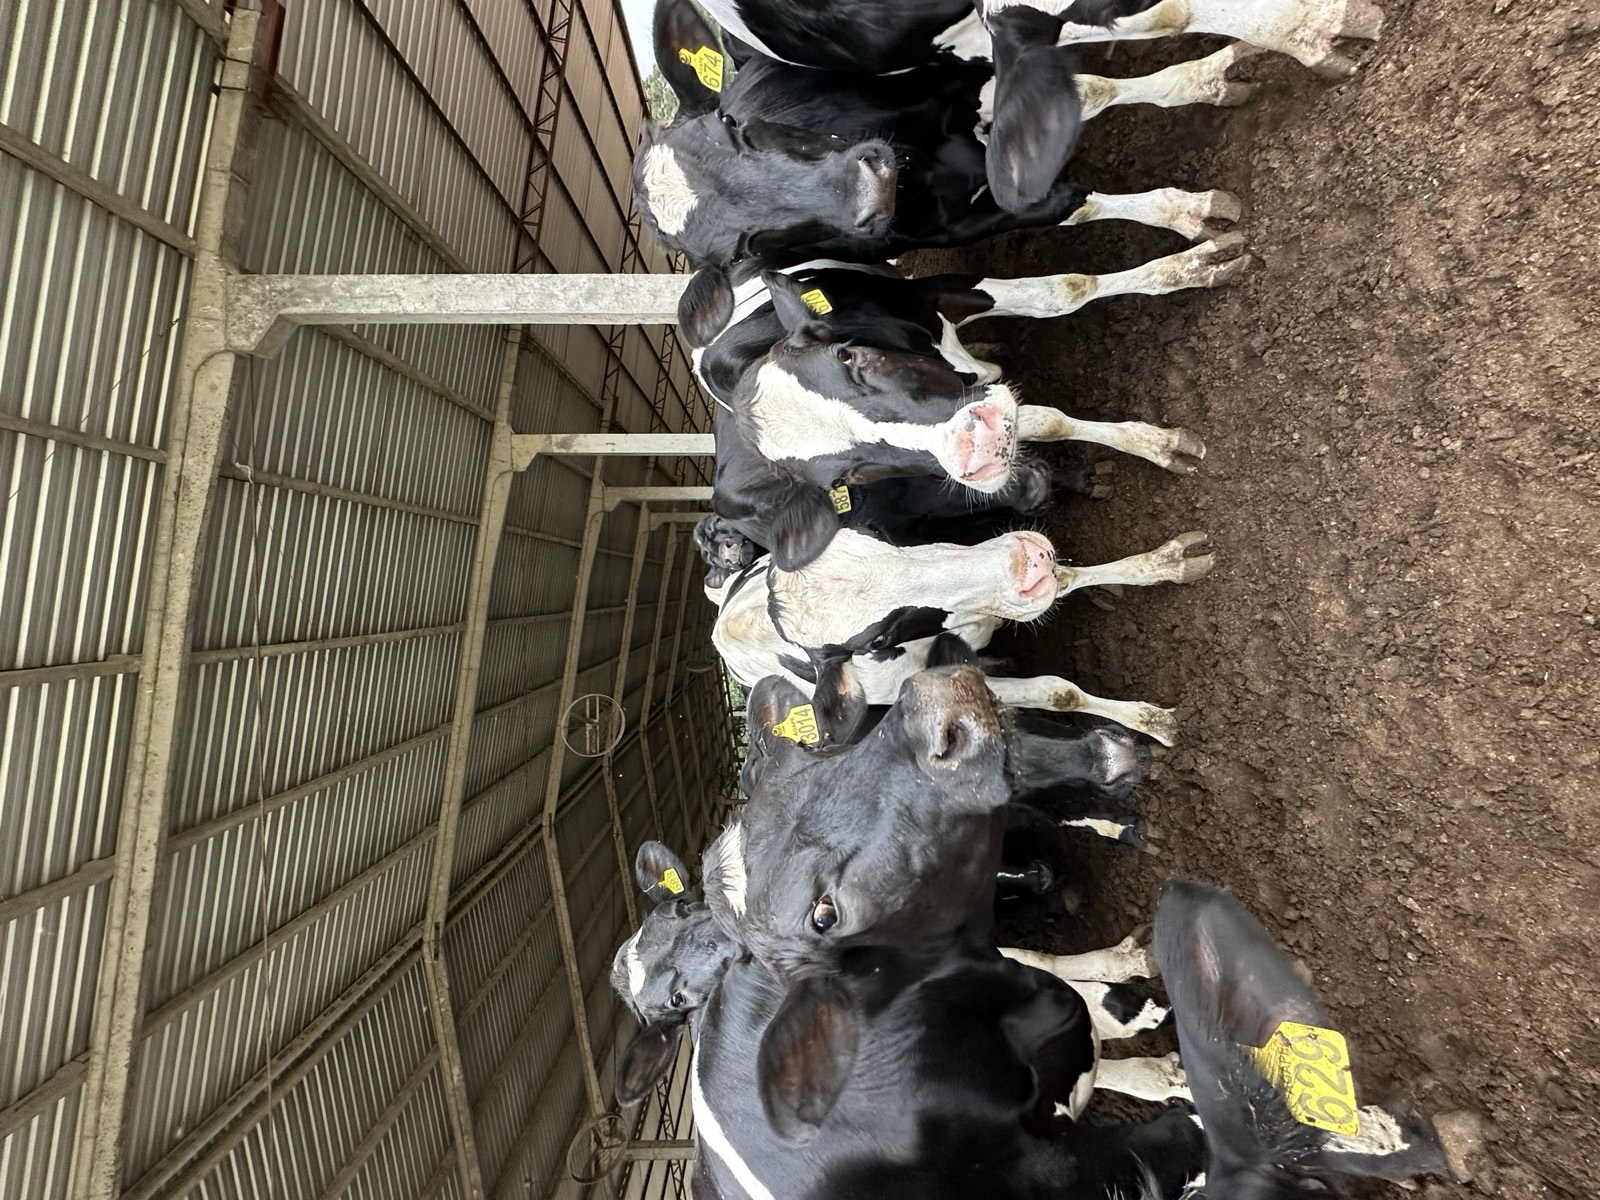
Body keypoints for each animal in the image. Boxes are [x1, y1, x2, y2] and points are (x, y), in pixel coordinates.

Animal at [710, 527, 1211, 743]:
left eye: (874, 531)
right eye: (875, 640)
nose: (1027, 563)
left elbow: (1070, 577)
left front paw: (1167, 562)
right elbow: (1056, 691)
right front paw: (1154, 722)